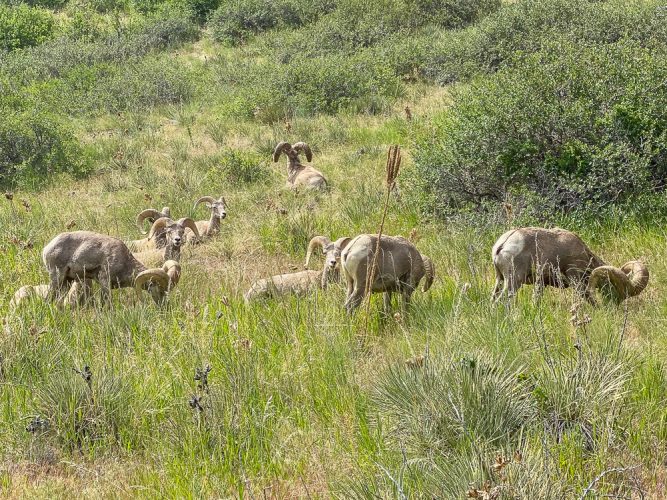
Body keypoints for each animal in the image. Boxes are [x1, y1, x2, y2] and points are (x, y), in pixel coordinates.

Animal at [43, 230, 183, 304]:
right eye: (160, 290)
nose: (165, 306)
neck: (125, 263)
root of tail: (46, 248)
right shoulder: (105, 282)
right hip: (57, 278)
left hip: (67, 281)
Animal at [494, 228, 648, 304]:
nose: (614, 305)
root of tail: (502, 245)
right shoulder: (575, 276)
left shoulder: (541, 283)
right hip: (514, 281)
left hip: (500, 279)